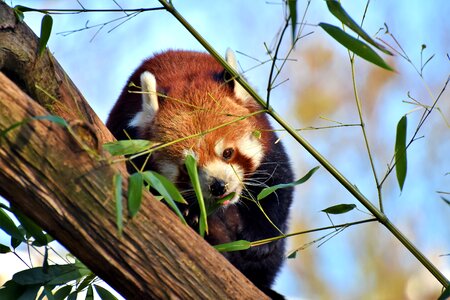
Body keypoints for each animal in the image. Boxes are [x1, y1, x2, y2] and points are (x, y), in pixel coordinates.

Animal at [107, 49, 294, 298]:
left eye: (227, 153)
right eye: (188, 167)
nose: (218, 185)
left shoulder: (266, 139)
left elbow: (277, 187)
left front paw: (260, 240)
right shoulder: (129, 144)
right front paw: (189, 213)